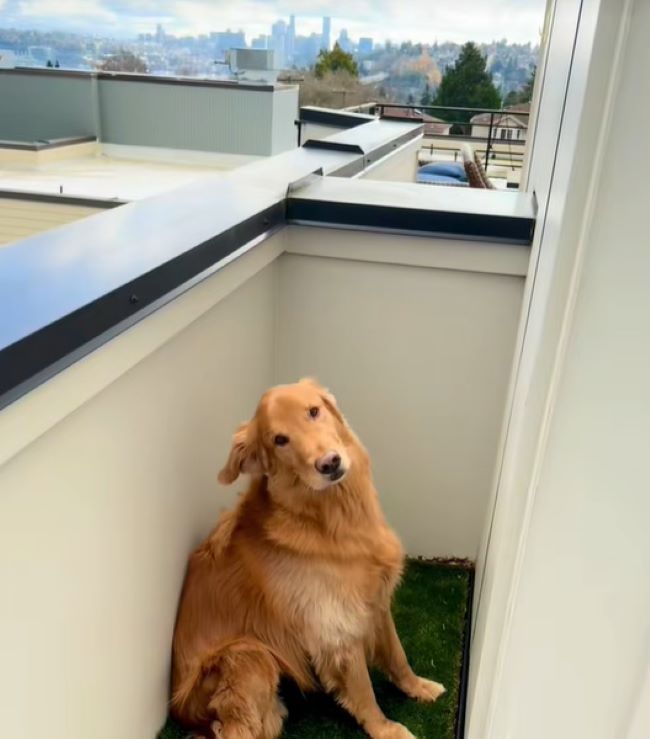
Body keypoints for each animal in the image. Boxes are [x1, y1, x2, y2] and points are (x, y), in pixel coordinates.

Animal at [170, 382, 442, 739]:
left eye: (314, 411)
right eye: (279, 440)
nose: (329, 463)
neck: (328, 519)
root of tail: (182, 713)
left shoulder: (376, 602)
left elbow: (398, 655)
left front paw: (418, 687)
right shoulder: (338, 628)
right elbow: (363, 689)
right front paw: (385, 729)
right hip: (248, 654)